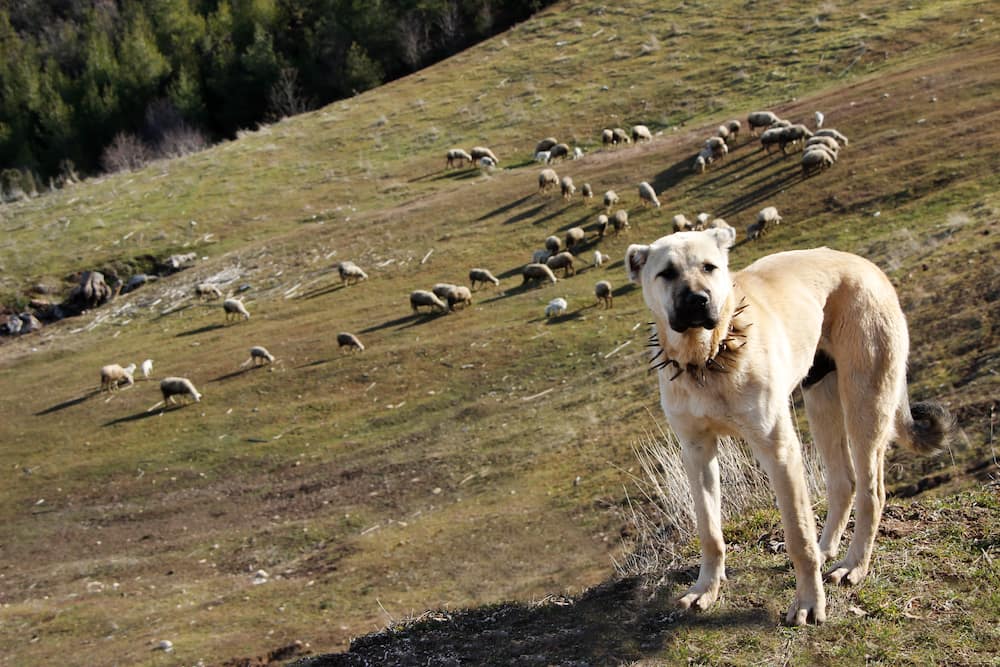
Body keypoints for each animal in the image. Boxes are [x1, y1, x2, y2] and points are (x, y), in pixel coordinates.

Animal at [628, 230, 948, 628]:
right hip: (821, 400)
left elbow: (798, 536)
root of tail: (867, 266)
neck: (708, 357)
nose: (699, 300)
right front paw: (706, 589)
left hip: (864, 405)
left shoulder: (779, 450)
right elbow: (709, 531)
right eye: (667, 273)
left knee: (871, 491)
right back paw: (828, 549)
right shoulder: (697, 452)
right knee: (843, 482)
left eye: (709, 267)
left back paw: (853, 566)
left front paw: (810, 602)